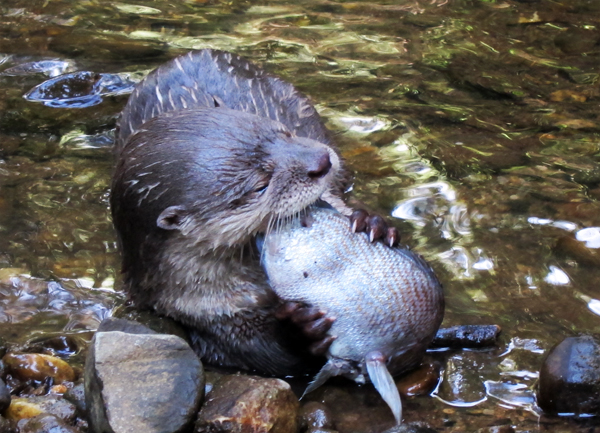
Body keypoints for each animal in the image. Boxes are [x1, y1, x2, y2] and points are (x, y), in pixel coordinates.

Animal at [110, 49, 396, 374]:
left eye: (284, 132)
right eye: (260, 185)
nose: (322, 161)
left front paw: (371, 223)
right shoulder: (202, 314)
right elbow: (269, 356)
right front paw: (298, 330)